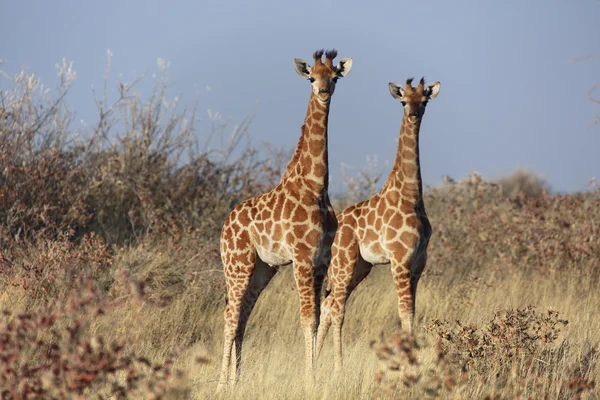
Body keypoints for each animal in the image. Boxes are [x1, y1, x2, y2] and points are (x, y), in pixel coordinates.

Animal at [218, 48, 354, 390]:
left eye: (334, 77)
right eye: (311, 78)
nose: (324, 92)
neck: (316, 186)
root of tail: (224, 227)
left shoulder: (321, 259)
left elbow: (316, 317)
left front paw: (314, 376)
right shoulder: (302, 257)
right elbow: (307, 318)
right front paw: (310, 379)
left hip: (262, 269)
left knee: (242, 316)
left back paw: (237, 380)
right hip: (237, 264)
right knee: (230, 315)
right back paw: (221, 383)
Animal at [314, 76, 440, 372]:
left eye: (424, 101)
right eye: (404, 101)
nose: (414, 115)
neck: (411, 196)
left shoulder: (418, 263)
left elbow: (412, 311)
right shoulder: (400, 259)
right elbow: (404, 312)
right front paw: (408, 363)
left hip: (361, 267)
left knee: (328, 305)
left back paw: (316, 362)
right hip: (344, 263)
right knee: (336, 308)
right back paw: (338, 367)